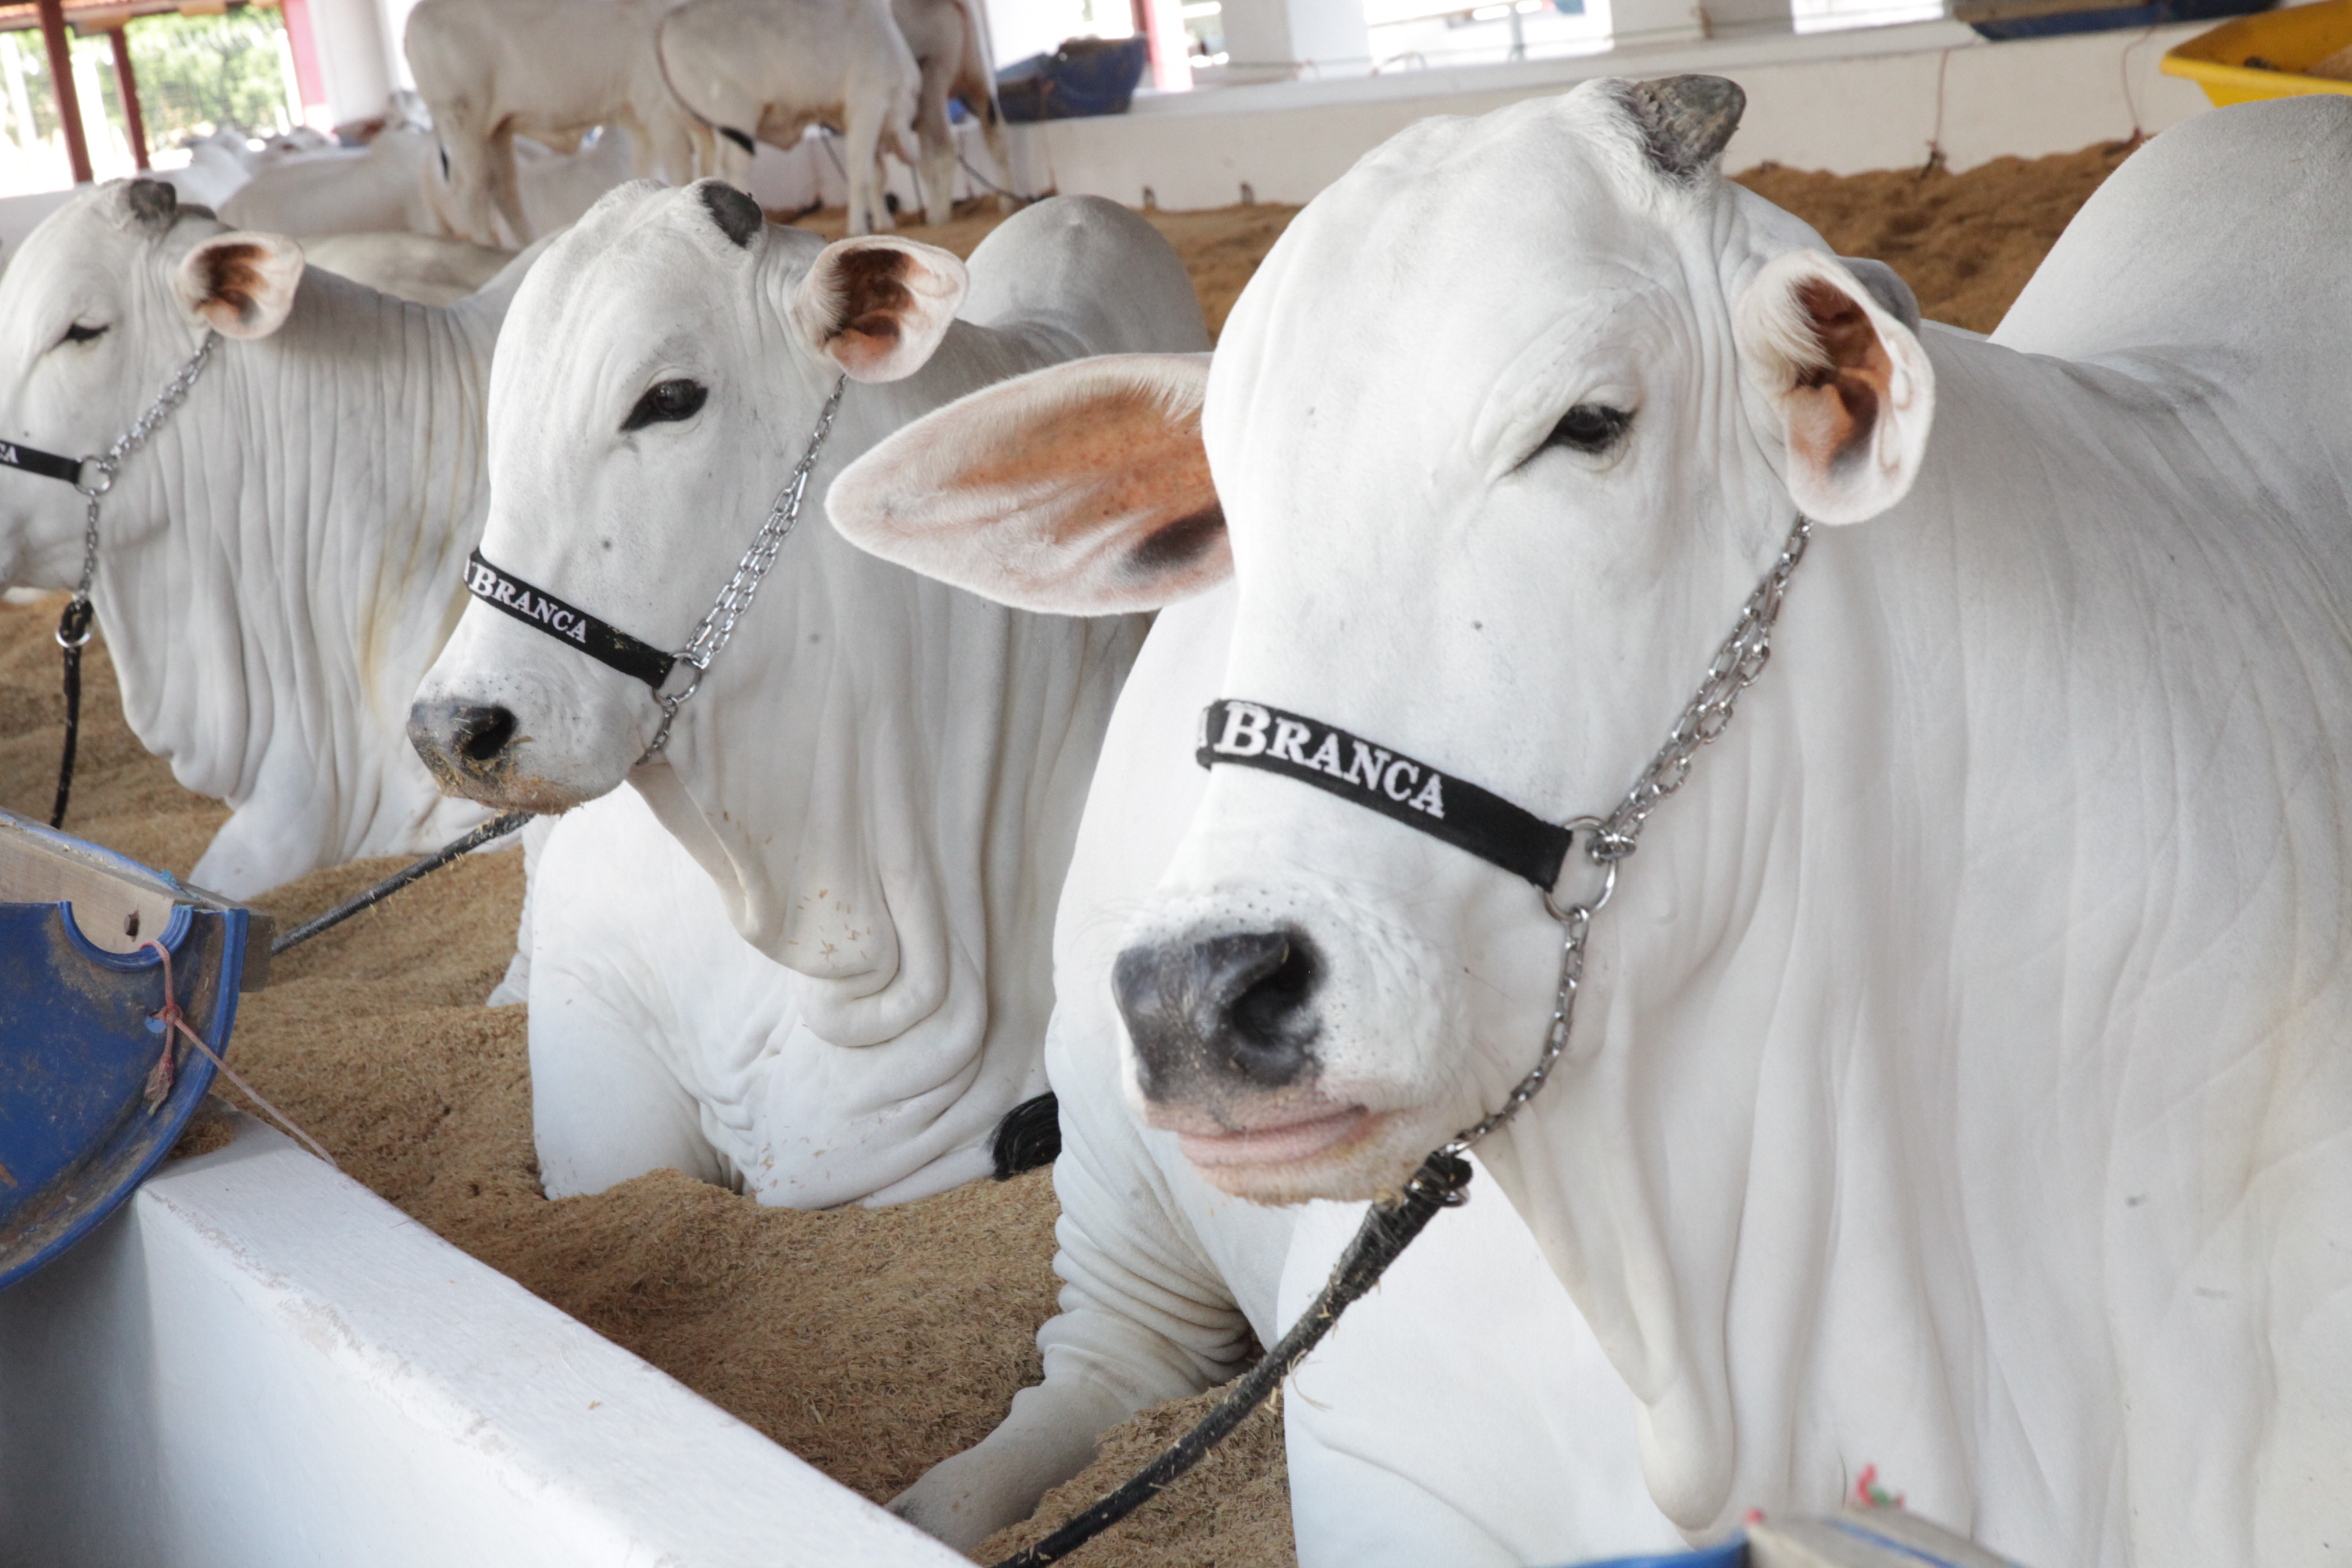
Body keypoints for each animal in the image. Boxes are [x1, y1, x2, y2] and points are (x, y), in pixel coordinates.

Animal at [406, 0, 715, 247]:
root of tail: (414, 21)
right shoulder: (660, 111)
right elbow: (682, 174)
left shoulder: (644, 123)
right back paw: (491, 250)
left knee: (504, 189)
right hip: (462, 121)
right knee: (471, 190)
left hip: (496, 129)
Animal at [663, 0, 917, 235]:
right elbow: (860, 172)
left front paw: (885, 224)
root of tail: (672, 22)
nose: (912, 154)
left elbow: (877, 174)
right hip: (734, 117)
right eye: (913, 101)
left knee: (703, 172)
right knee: (731, 169)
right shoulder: (868, 102)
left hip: (699, 128)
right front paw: (858, 230)